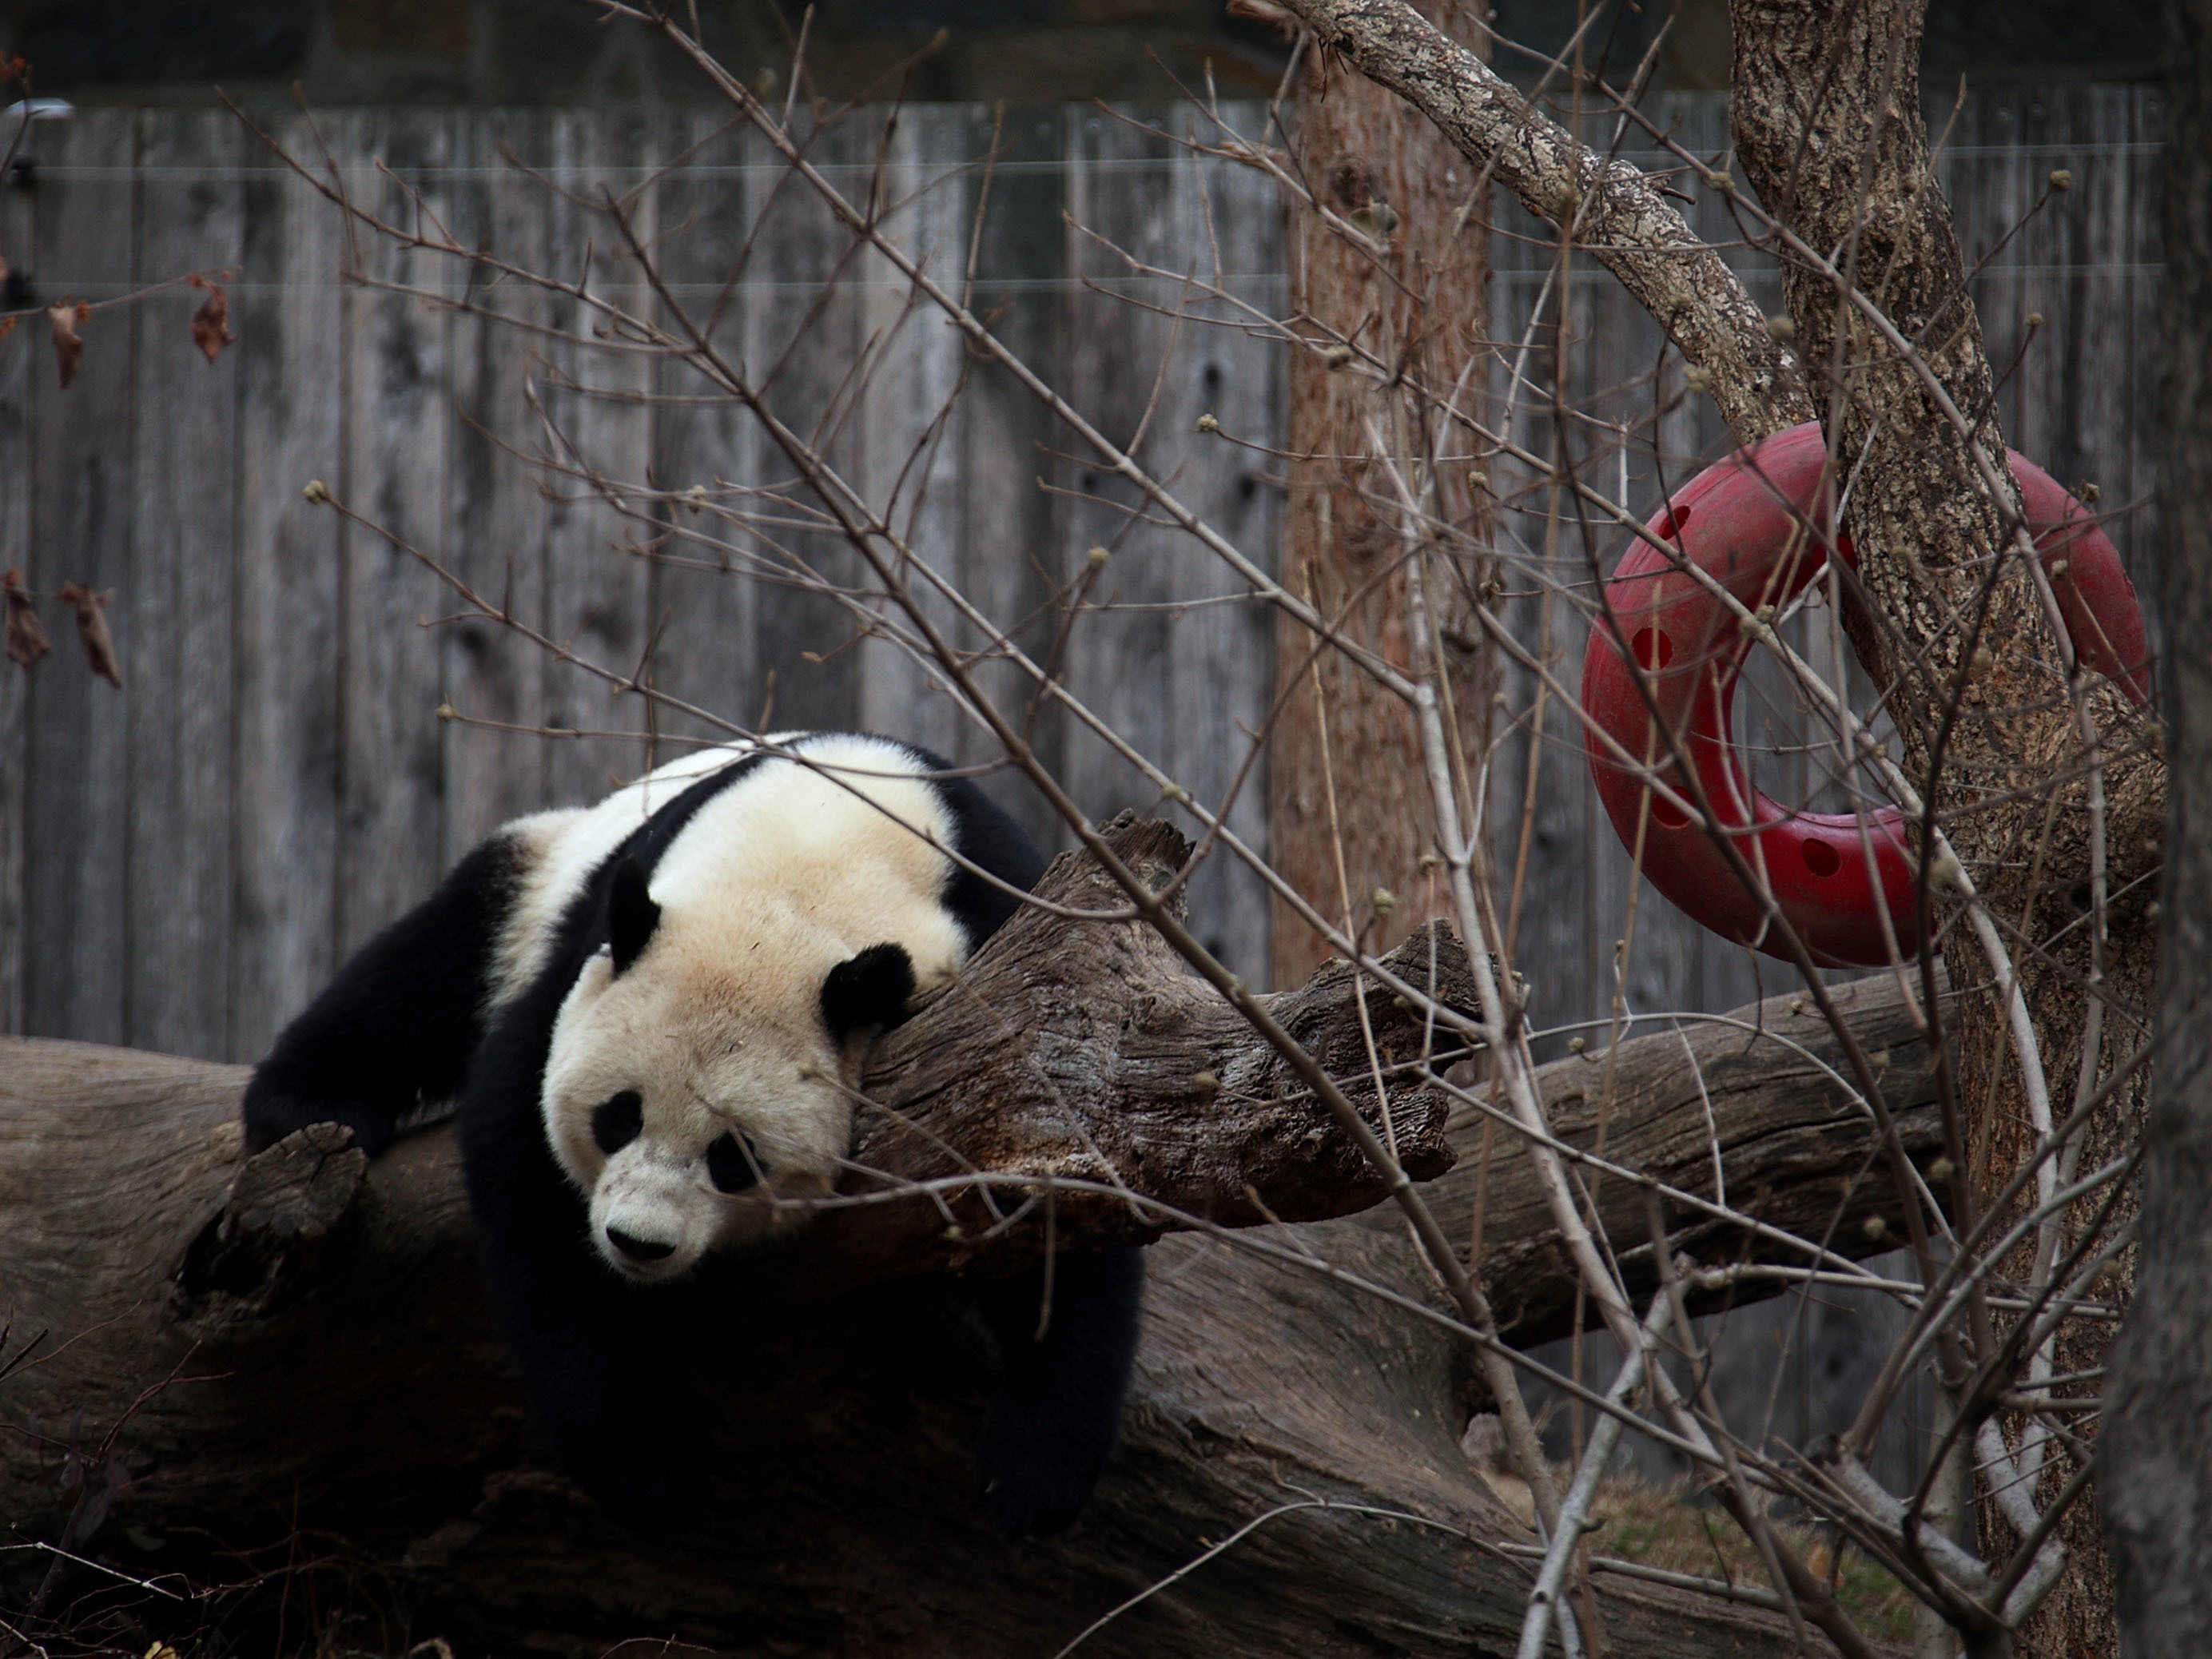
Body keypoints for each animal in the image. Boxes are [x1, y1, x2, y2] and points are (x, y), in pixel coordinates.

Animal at [241, 731, 1144, 1538]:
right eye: (617, 1116)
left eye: (733, 1158)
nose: (637, 1243)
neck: (804, 874)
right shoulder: (593, 954)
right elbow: (524, 1160)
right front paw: (648, 1468)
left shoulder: (1006, 954)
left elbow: (1058, 1175)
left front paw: (1031, 1479)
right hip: (537, 868)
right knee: (429, 965)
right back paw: (302, 1104)